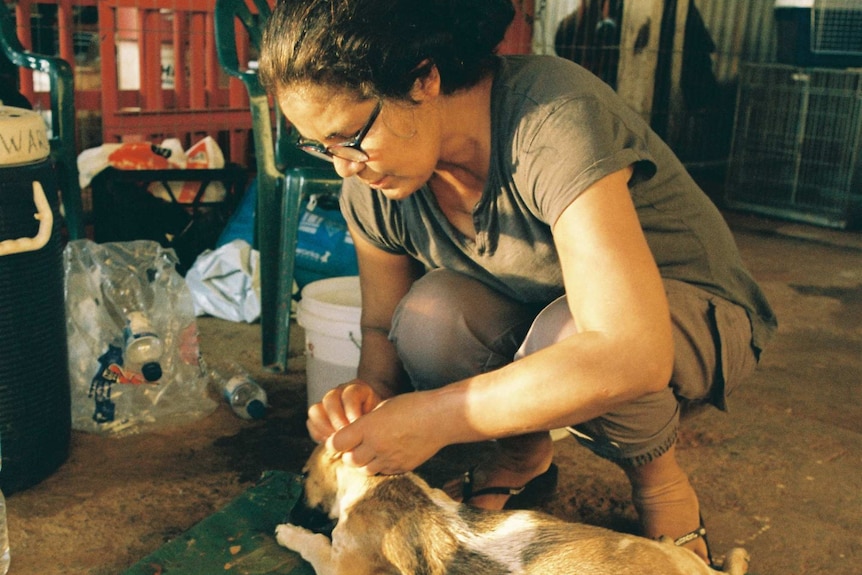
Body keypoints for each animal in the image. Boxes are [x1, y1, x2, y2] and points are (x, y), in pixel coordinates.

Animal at [276, 444, 748, 575]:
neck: (383, 483)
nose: (294, 514)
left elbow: (314, 545)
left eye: (303, 473)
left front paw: (289, 532)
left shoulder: (340, 566)